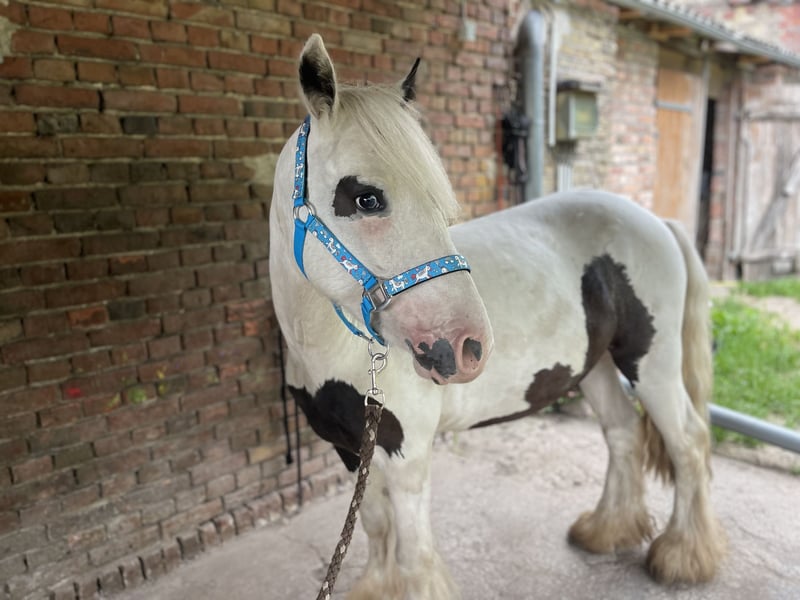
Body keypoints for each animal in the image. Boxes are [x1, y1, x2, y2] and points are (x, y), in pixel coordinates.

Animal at [269, 34, 726, 599]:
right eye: (365, 197)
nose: (465, 347)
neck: (332, 347)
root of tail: (656, 220)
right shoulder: (349, 448)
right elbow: (373, 524)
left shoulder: (405, 455)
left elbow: (413, 553)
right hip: (593, 365)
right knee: (623, 433)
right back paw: (607, 531)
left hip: (652, 364)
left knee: (687, 443)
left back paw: (684, 557)